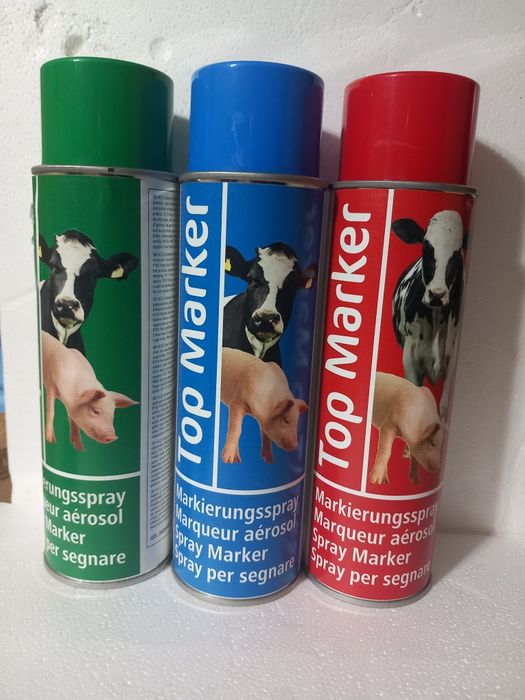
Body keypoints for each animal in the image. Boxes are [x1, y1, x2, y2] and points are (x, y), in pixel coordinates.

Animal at [392, 210, 465, 417]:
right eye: (426, 245)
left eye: (457, 252)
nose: (437, 294)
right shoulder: (410, 358)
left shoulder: (452, 360)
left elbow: (443, 407)